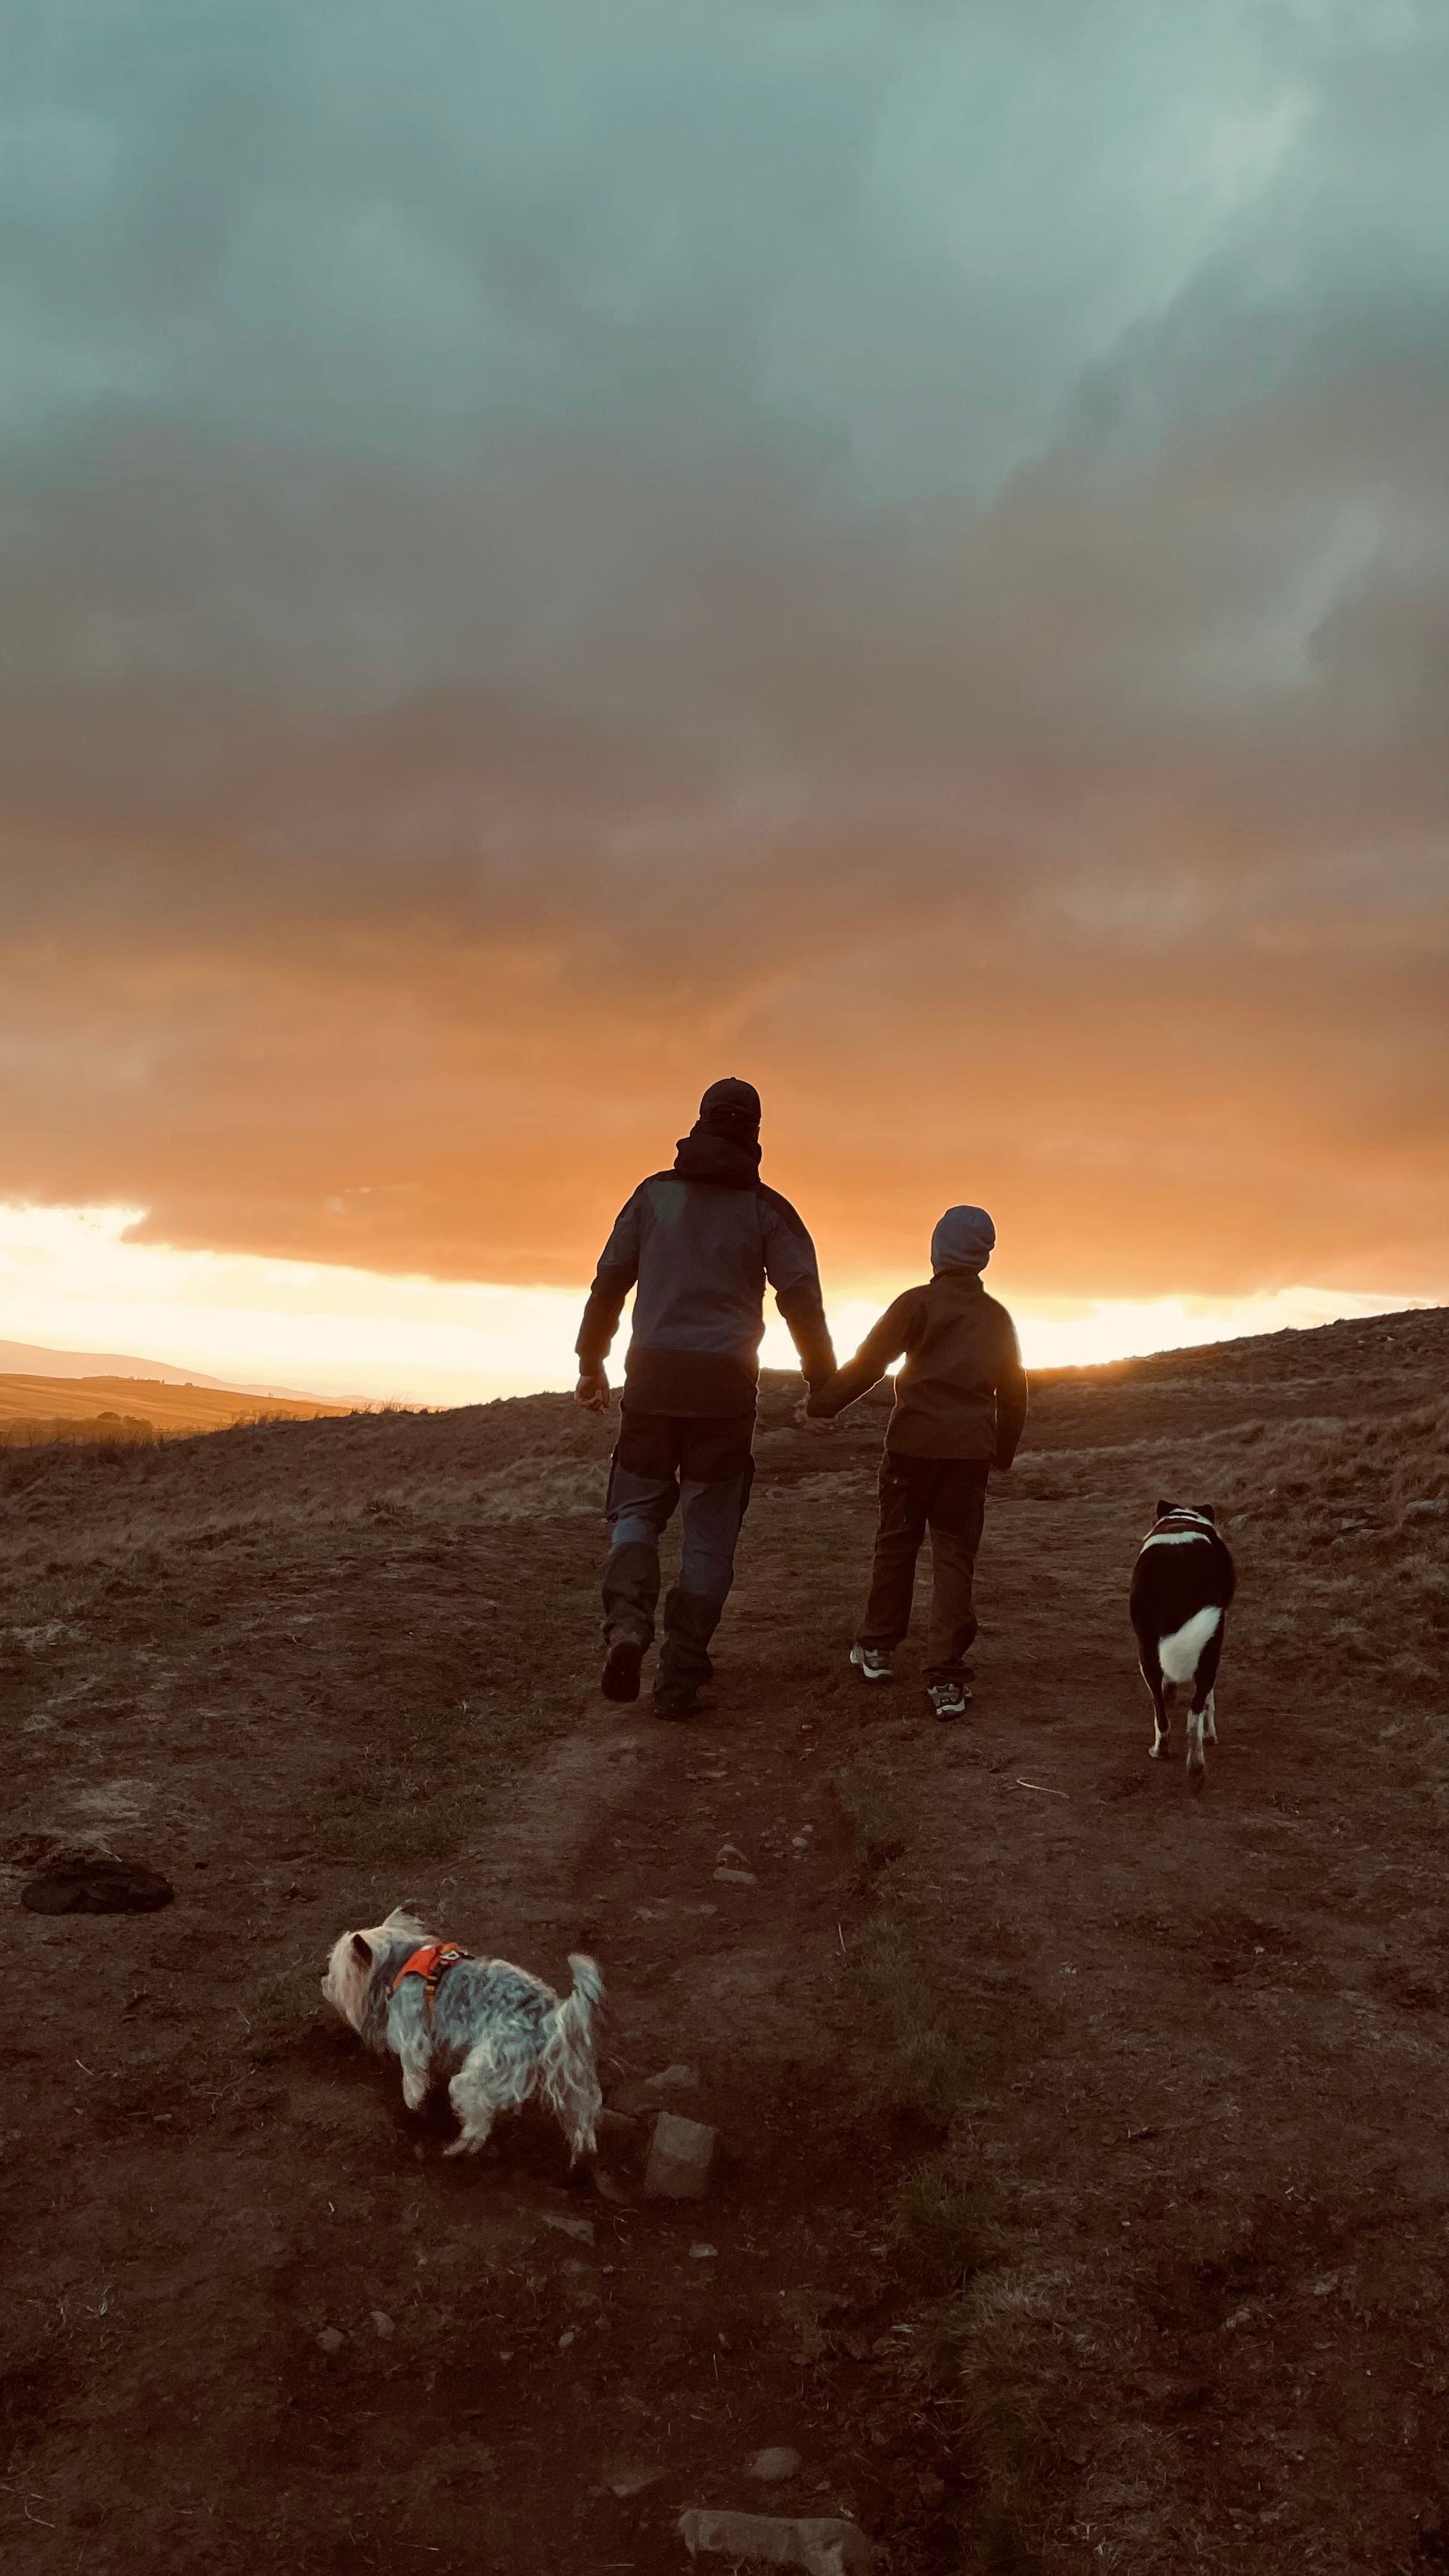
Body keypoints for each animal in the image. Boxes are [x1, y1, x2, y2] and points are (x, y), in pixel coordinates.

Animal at [318, 1906, 601, 2164]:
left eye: (335, 1973)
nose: (323, 1982)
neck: (398, 1962)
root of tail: (548, 2017)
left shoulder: (411, 2040)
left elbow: (412, 2081)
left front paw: (414, 2111)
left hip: (477, 2078)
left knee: (478, 2125)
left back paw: (457, 2149)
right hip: (570, 2078)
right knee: (582, 2123)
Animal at [1129, 1504, 1227, 1782]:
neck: (1182, 1517)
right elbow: (1210, 1701)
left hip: (1147, 1647)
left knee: (1161, 1709)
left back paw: (1169, 1752)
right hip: (1210, 1647)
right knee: (1196, 1710)